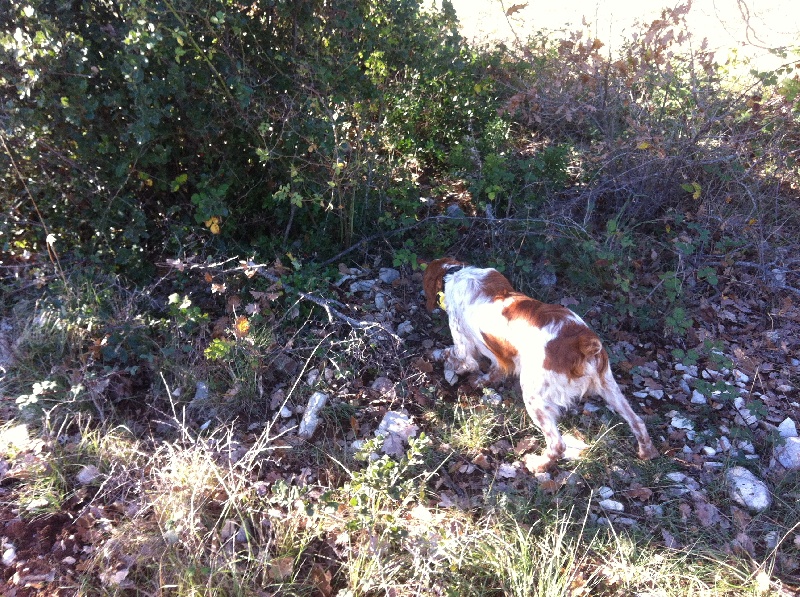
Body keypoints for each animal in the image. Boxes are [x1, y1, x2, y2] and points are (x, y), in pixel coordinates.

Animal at [422, 256, 660, 470]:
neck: (457, 273)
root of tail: (582, 341)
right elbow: (494, 370)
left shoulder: (463, 344)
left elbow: (459, 357)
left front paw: (440, 357)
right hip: (608, 385)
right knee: (637, 421)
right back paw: (646, 452)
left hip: (534, 396)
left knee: (558, 444)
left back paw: (537, 465)